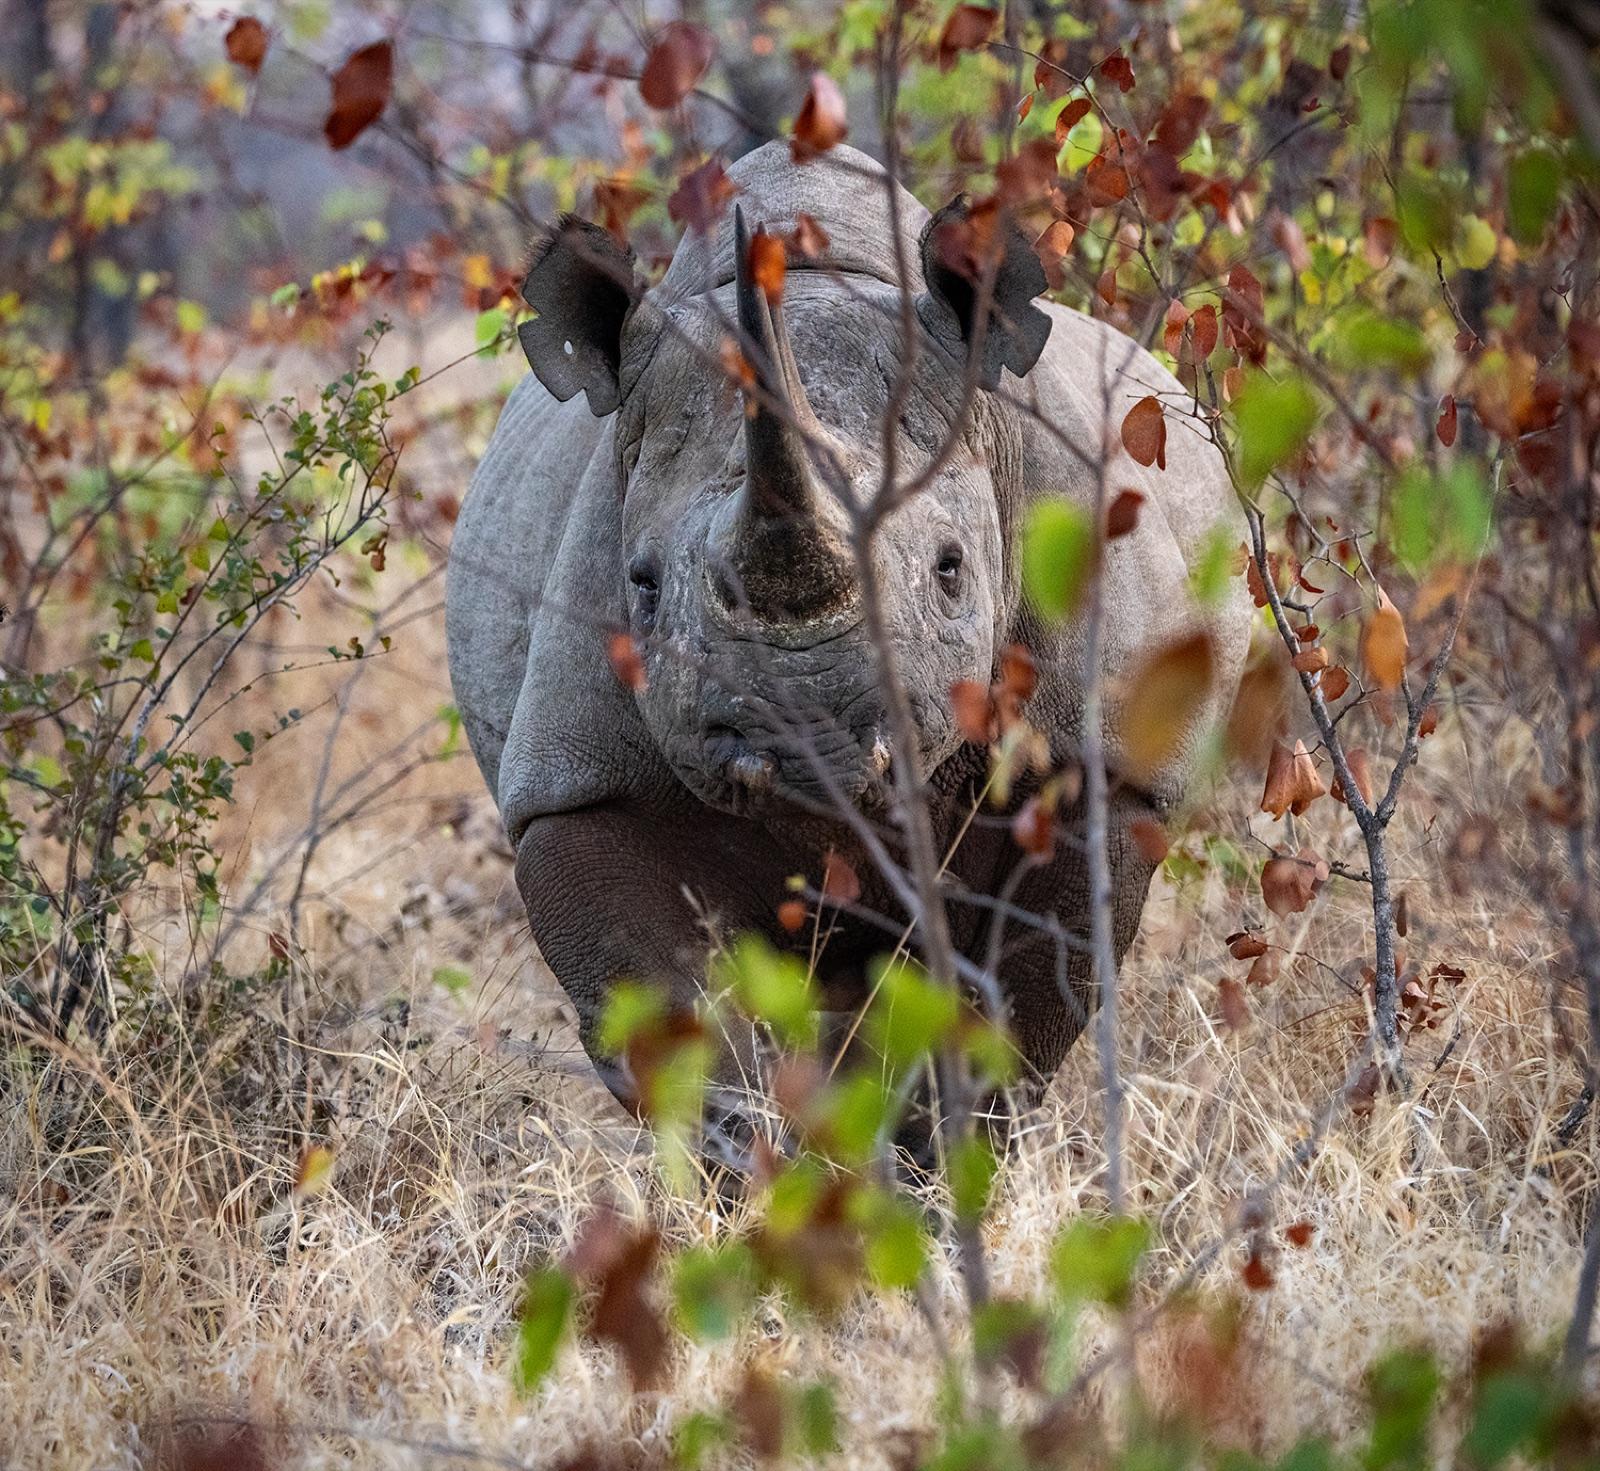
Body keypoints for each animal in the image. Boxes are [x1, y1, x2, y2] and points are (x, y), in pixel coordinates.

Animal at [447, 142, 1249, 1148]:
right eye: (641, 583)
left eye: (951, 570)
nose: (806, 737)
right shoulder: (575, 787)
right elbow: (680, 1035)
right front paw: (773, 1172)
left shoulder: (1100, 760)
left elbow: (1014, 1015)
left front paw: (934, 1169)